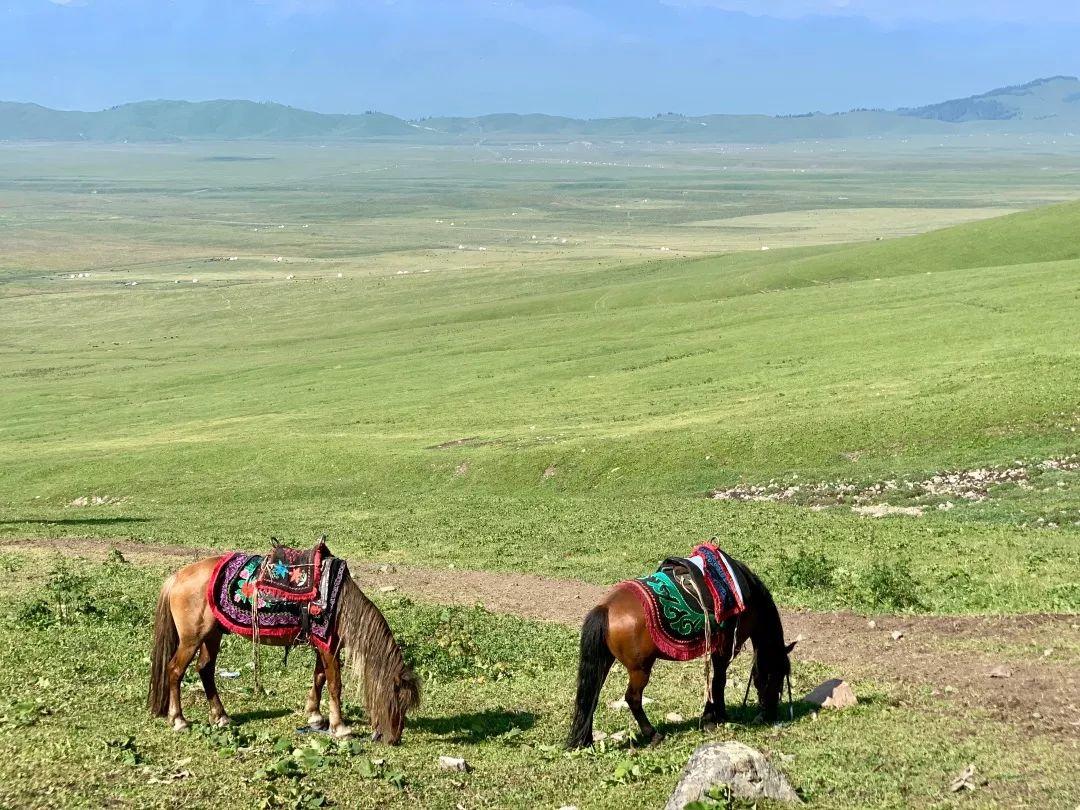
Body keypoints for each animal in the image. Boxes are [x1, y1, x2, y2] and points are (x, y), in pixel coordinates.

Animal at [150, 557, 419, 747]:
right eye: (398, 701)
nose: (394, 739)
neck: (339, 603)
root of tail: (176, 577)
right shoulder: (329, 646)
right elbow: (335, 684)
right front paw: (340, 727)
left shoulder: (322, 646)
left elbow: (319, 677)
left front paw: (315, 716)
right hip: (191, 639)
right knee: (175, 671)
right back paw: (179, 720)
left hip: (212, 635)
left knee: (205, 669)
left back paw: (221, 716)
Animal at [565, 552, 794, 747]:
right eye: (778, 675)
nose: (771, 714)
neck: (748, 597)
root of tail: (606, 608)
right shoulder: (727, 647)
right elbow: (718, 681)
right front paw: (716, 716)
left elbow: (714, 681)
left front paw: (710, 716)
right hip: (640, 669)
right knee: (633, 698)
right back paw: (653, 734)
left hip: (605, 662)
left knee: (591, 695)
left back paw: (586, 739)